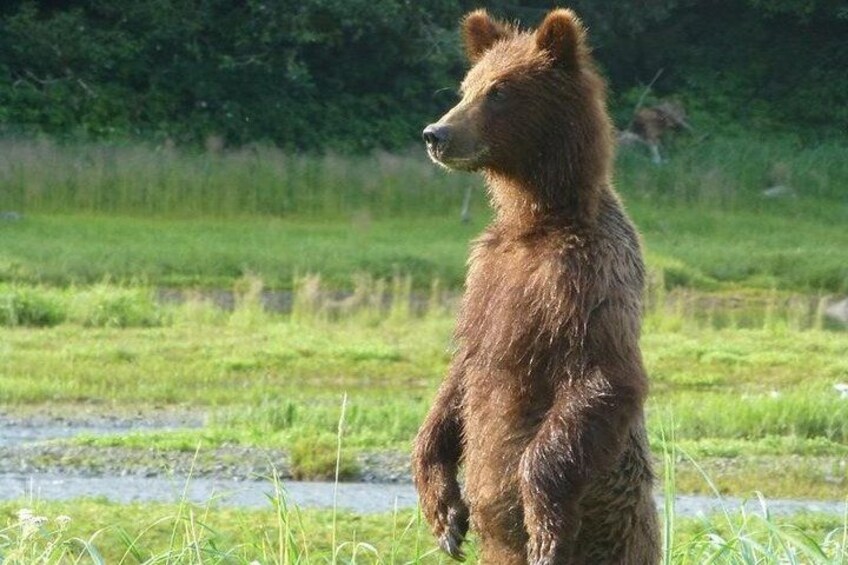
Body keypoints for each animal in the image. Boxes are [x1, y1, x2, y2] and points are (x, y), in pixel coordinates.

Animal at [413, 8, 660, 565]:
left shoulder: (585, 274)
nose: (436, 132)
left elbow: (603, 376)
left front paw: (543, 524)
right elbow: (460, 375)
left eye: (500, 91)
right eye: (467, 85)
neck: (537, 220)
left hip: (620, 535)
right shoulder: (486, 275)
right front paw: (445, 516)